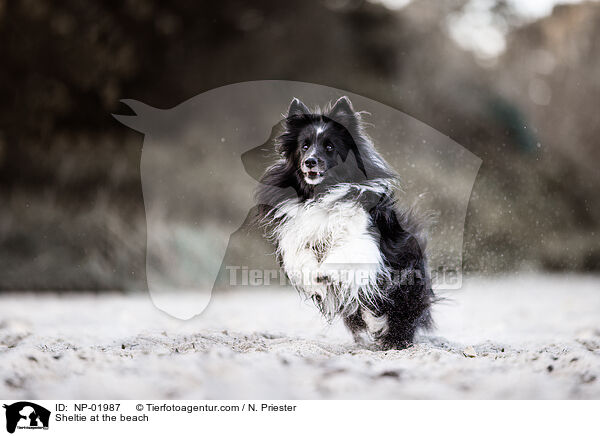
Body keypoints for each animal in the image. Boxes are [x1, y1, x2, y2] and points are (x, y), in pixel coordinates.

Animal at [255, 97, 434, 350]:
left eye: (330, 147)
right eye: (304, 146)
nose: (310, 162)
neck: (321, 193)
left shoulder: (363, 237)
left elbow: (346, 250)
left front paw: (326, 271)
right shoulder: (298, 231)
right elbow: (303, 255)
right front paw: (316, 273)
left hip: (406, 285)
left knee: (400, 314)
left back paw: (394, 341)